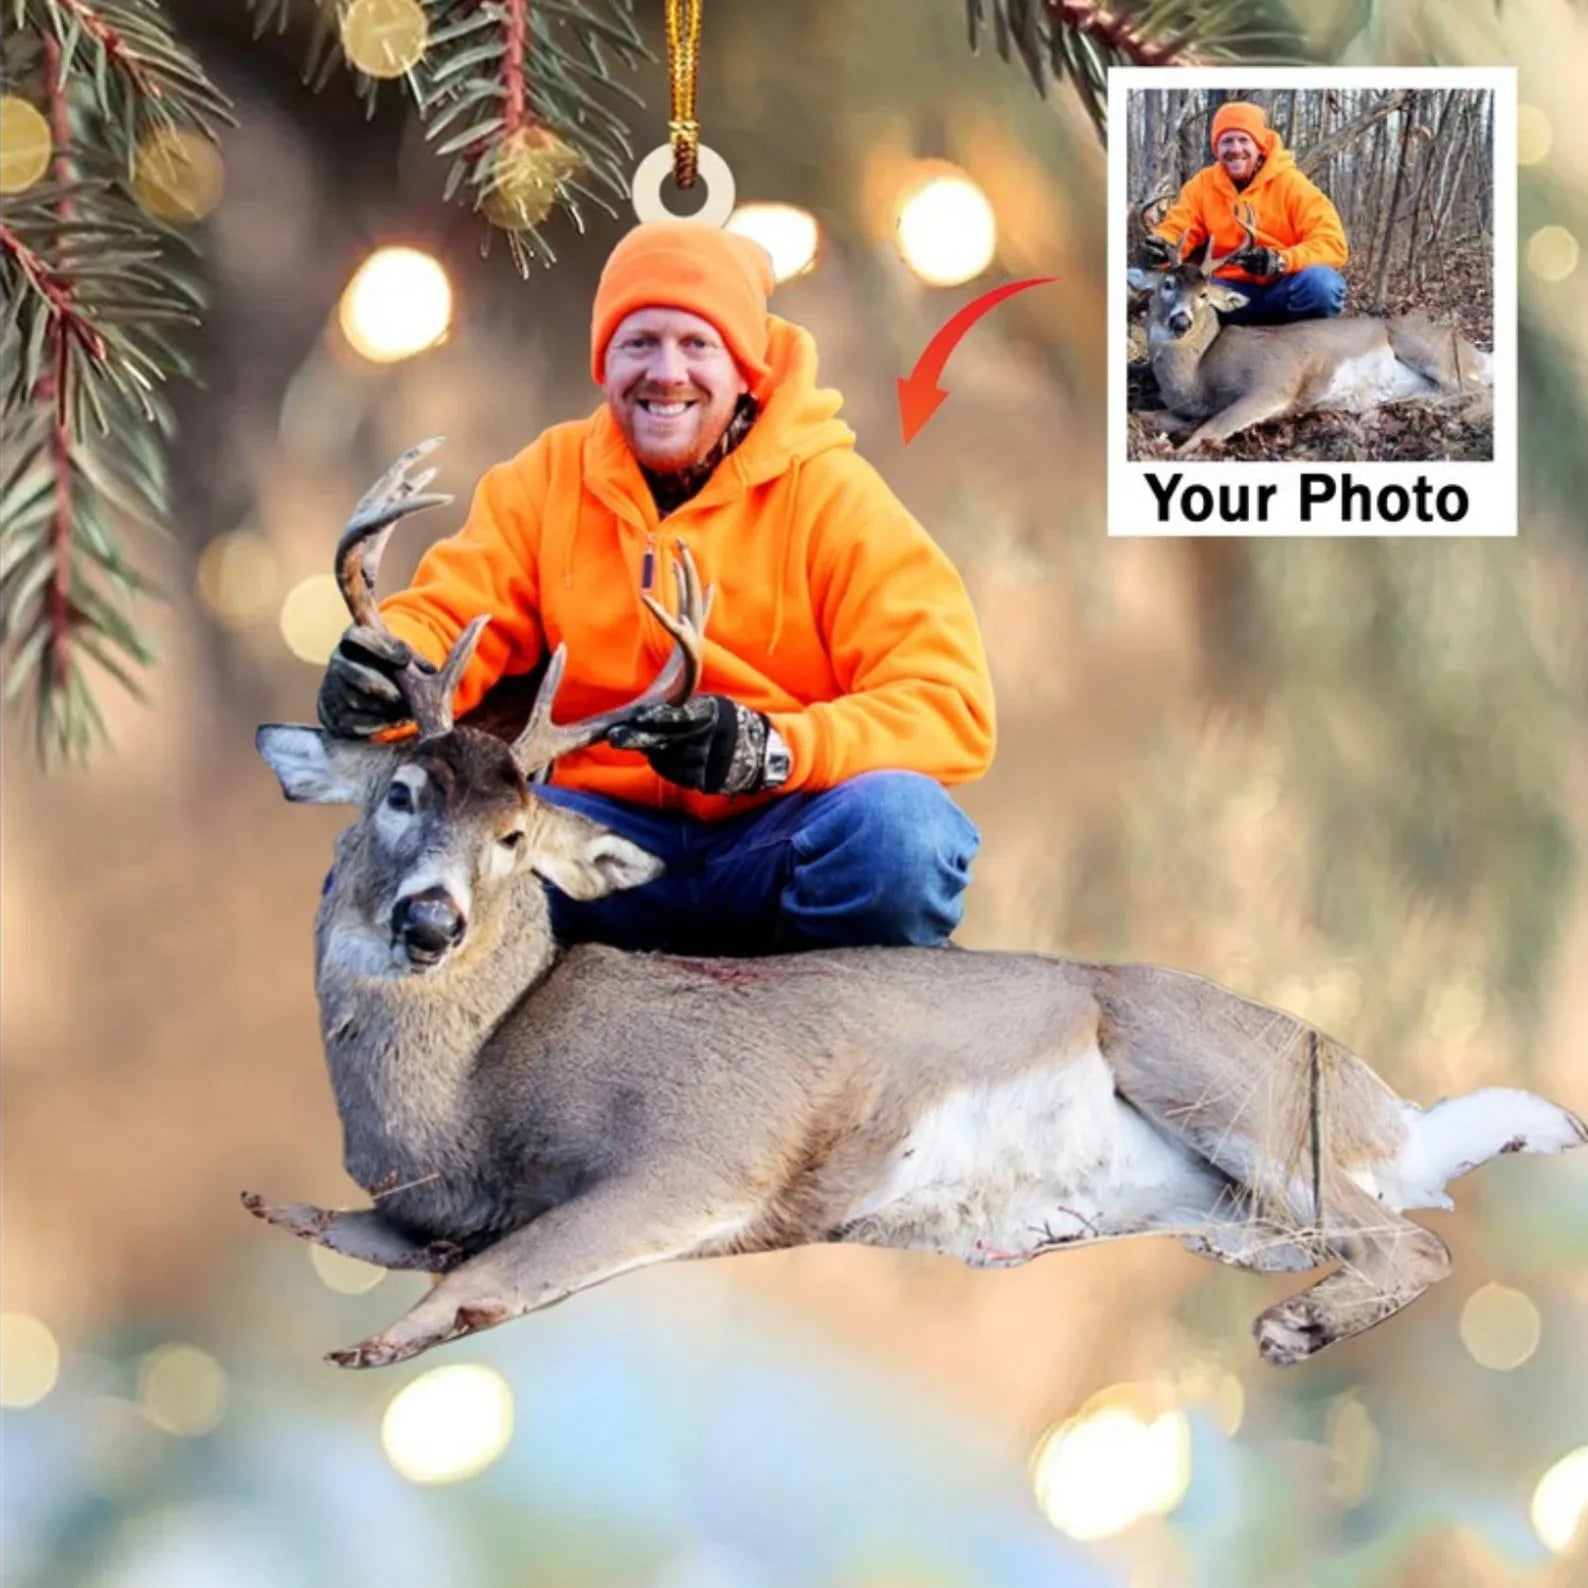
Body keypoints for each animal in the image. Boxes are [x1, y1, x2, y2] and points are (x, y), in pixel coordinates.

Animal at [246, 440, 1583, 1372]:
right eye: (401, 792)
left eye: (518, 841)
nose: (430, 923)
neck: (470, 1094)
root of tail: (1387, 1102)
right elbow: (349, 1220)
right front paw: (281, 1208)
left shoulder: (700, 1150)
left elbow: (501, 1270)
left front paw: (373, 1339)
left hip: (1218, 1074)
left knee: (1410, 1232)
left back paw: (1294, 1330)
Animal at [1128, 197, 1495, 455]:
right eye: (1167, 284)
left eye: (1204, 295)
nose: (1181, 321)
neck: (1198, 373)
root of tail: (1474, 349)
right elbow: (1143, 415)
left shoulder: (1273, 384)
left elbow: (1203, 434)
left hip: (1426, 347)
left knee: (1482, 393)